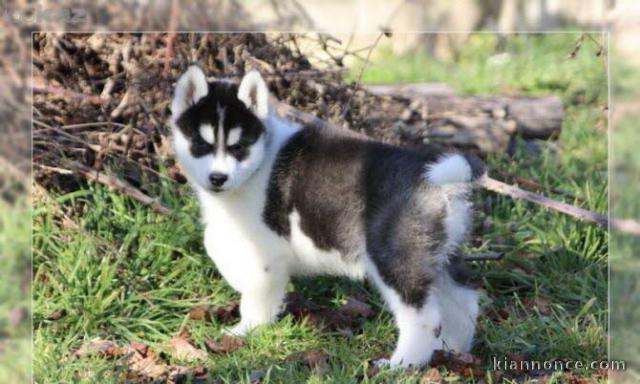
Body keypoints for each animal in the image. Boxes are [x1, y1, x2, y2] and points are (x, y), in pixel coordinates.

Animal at [170, 67, 484, 368]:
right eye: (201, 144)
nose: (218, 178)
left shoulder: (267, 247)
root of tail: (437, 181)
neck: (257, 167)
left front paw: (247, 330)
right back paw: (453, 351)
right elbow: (213, 240)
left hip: (395, 257)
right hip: (440, 258)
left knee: (423, 319)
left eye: (238, 147)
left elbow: (254, 290)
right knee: (465, 304)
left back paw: (401, 364)